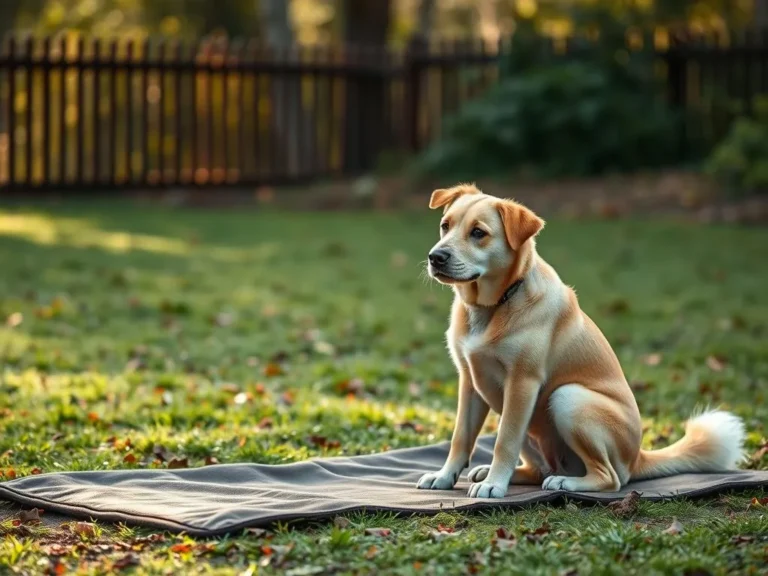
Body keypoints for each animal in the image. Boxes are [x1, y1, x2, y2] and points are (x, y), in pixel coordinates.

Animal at [416, 183, 748, 496]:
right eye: (445, 225)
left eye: (478, 233)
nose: (435, 257)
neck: (494, 304)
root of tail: (637, 457)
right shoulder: (469, 382)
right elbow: (460, 438)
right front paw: (444, 477)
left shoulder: (522, 383)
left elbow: (504, 442)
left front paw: (494, 485)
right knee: (540, 470)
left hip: (568, 398)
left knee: (610, 478)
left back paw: (563, 482)